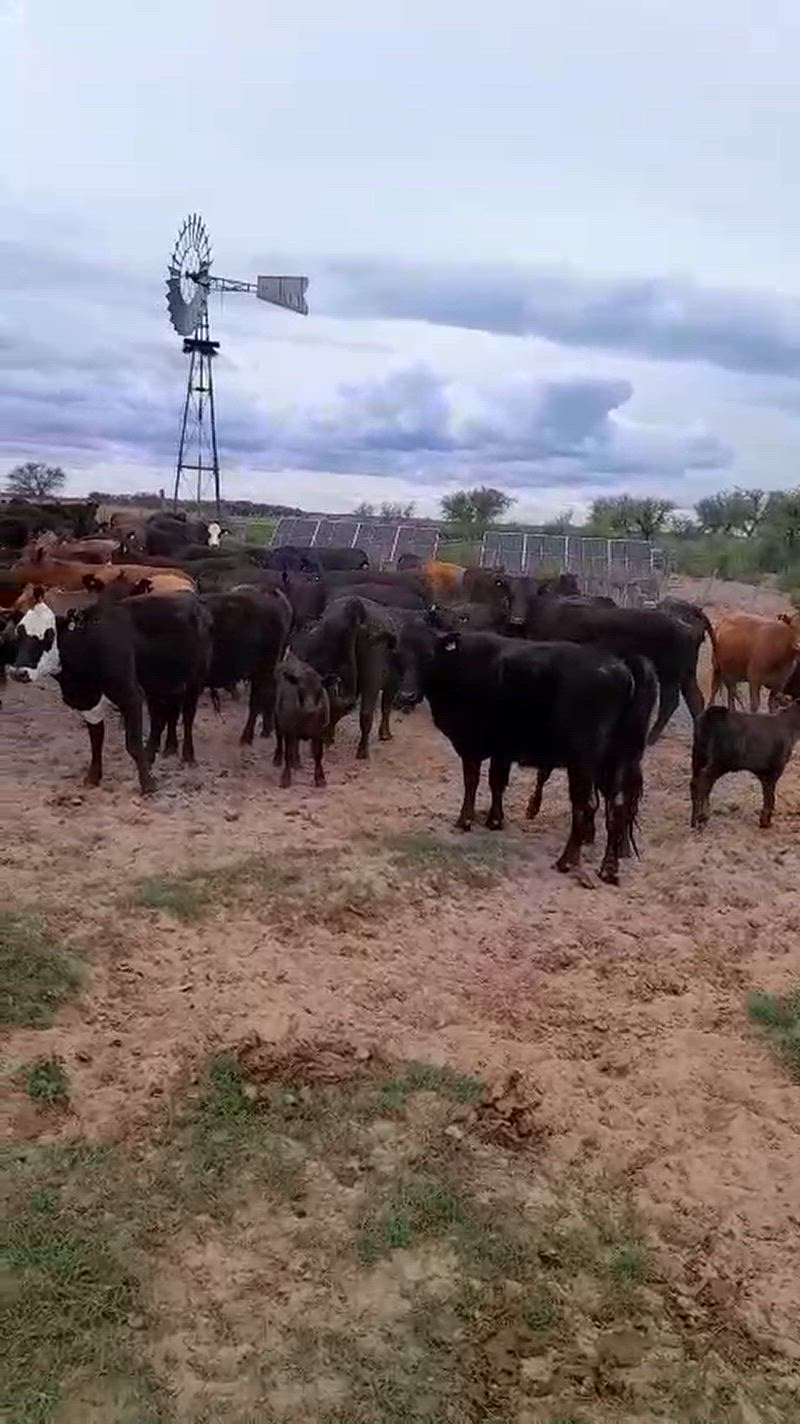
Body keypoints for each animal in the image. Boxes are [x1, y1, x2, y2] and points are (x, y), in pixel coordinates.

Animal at [273, 651, 331, 788]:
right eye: (300, 689)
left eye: (319, 690)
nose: (310, 709)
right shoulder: (290, 730)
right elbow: (288, 754)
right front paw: (285, 778)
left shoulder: (318, 732)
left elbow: (318, 753)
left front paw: (320, 778)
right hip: (277, 718)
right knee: (279, 737)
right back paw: (278, 758)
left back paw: (297, 762)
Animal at [395, 625, 657, 885]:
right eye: (399, 656)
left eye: (429, 656)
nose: (407, 695)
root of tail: (621, 664)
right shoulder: (502, 748)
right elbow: (497, 782)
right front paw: (495, 820)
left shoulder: (471, 745)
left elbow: (472, 781)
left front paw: (464, 821)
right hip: (621, 756)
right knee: (618, 804)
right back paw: (608, 869)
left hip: (584, 760)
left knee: (585, 804)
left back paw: (566, 861)